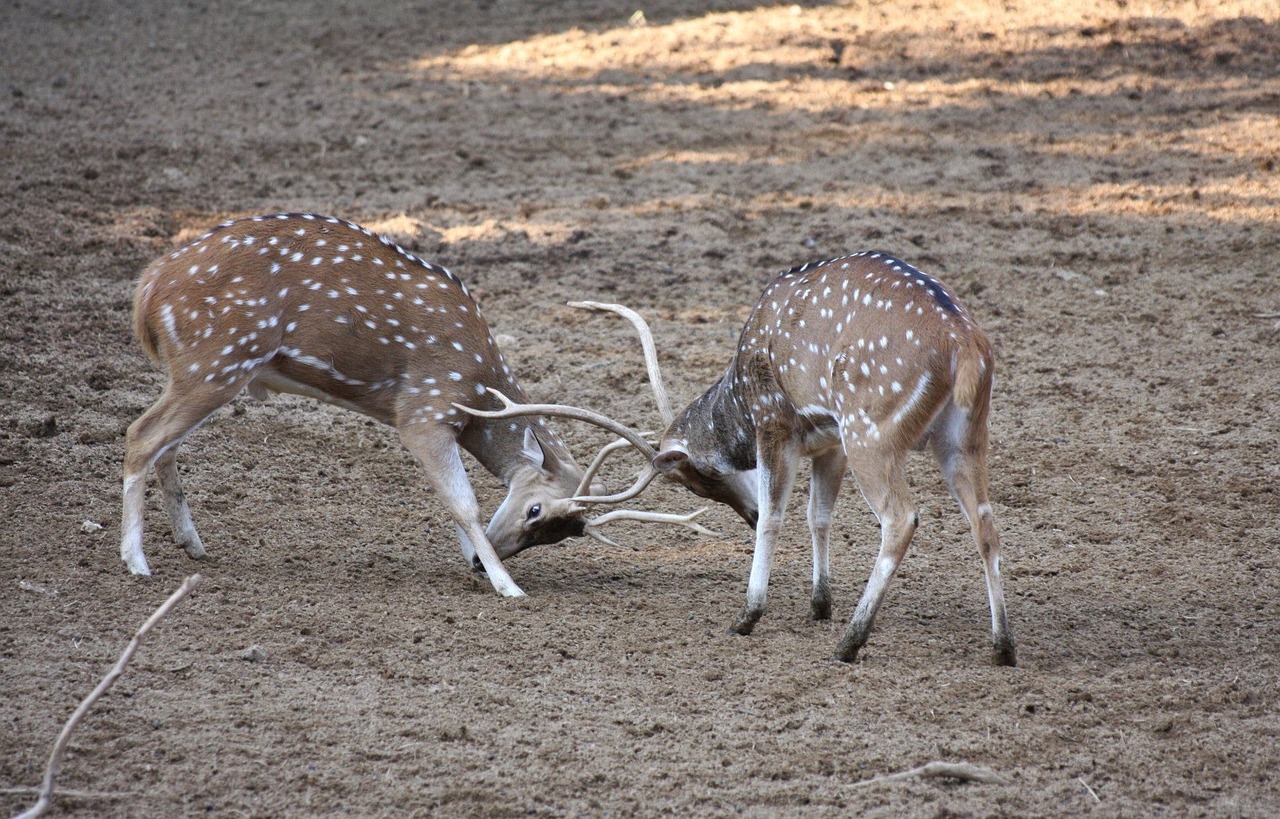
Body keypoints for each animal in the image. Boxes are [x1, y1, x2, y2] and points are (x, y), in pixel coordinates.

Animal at [120, 211, 716, 593]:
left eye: (558, 536)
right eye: (536, 509)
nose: (479, 562)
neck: (478, 385)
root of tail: (148, 287)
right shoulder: (424, 411)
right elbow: (463, 501)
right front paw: (508, 587)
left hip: (204, 372)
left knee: (165, 444)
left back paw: (192, 544)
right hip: (216, 361)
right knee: (140, 436)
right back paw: (137, 562)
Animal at [455, 250, 1013, 665]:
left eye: (696, 476)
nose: (741, 509)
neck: (739, 402)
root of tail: (966, 346)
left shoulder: (777, 423)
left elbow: (775, 517)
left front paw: (747, 616)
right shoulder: (828, 440)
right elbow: (818, 515)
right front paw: (818, 606)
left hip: (871, 429)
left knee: (901, 518)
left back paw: (851, 643)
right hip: (963, 435)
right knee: (985, 522)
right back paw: (1002, 647)